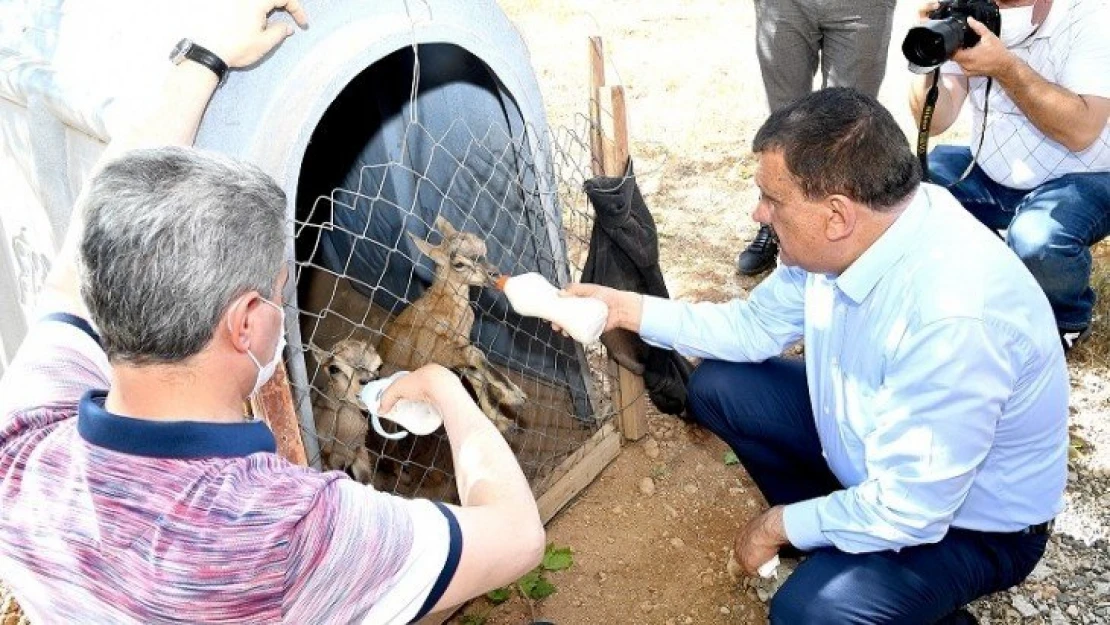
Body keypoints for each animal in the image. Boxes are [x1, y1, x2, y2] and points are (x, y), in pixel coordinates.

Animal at [384, 215, 526, 430]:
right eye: (458, 263)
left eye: (482, 246)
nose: (494, 274)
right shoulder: (432, 354)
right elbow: (476, 355)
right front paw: (515, 396)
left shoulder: (457, 349)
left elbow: (476, 374)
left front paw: (500, 420)